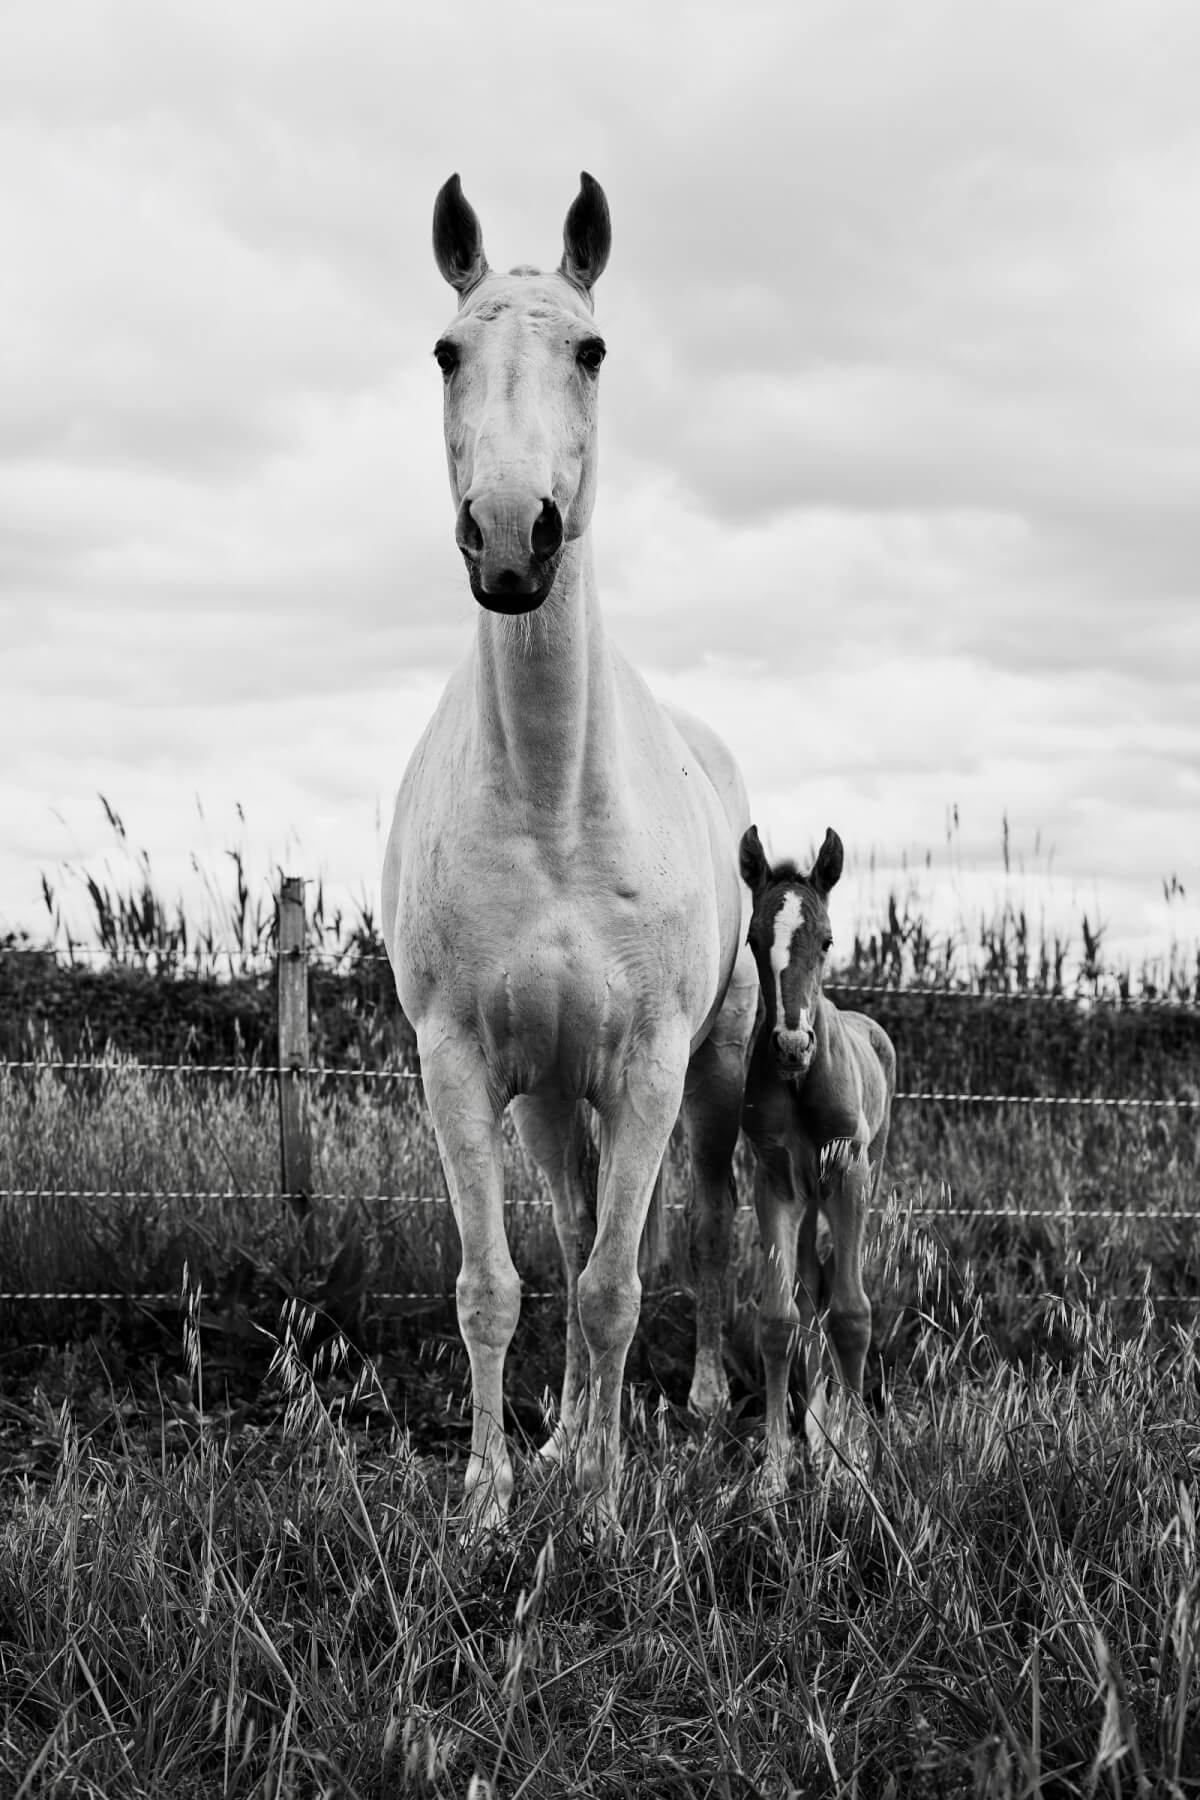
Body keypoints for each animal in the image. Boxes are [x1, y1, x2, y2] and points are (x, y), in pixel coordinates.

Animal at [381, 173, 759, 1532]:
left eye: (591, 352)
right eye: (447, 352)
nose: (510, 539)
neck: (552, 806)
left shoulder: (648, 1069)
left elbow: (612, 1286)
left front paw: (601, 1504)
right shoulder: (456, 1065)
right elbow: (499, 1281)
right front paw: (496, 1494)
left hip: (711, 1076)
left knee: (695, 1234)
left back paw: (687, 1407)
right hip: (549, 1098)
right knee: (579, 1222)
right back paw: (565, 1439)